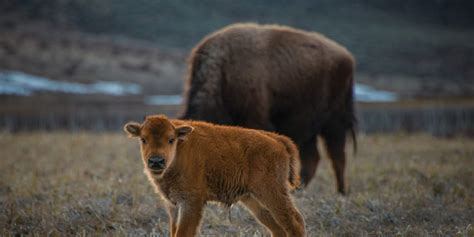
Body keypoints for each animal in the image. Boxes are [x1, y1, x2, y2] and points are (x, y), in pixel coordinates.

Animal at [124, 114, 306, 235]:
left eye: (171, 139)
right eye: (143, 139)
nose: (156, 161)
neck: (180, 152)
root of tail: (277, 140)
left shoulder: (191, 202)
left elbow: (183, 233)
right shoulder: (173, 204)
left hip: (271, 192)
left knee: (294, 222)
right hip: (254, 200)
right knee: (278, 228)